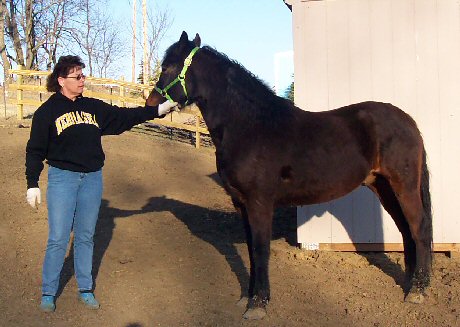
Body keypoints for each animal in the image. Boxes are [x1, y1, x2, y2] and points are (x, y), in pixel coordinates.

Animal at [146, 32, 432, 320]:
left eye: (168, 67)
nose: (150, 104)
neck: (250, 127)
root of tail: (409, 121)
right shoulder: (242, 205)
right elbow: (251, 250)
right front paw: (248, 297)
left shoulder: (259, 204)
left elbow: (260, 250)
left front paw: (258, 304)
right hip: (384, 187)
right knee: (406, 231)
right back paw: (410, 283)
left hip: (404, 186)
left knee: (419, 228)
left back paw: (417, 291)